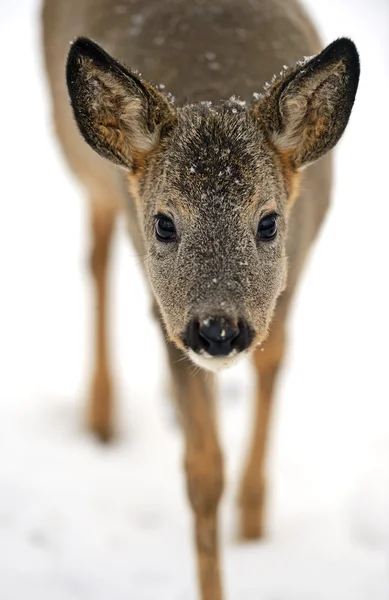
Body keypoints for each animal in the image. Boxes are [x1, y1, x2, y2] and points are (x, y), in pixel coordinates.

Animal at [41, 0, 358, 596]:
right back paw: (101, 419)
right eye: (164, 223)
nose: (218, 329)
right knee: (96, 249)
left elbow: (274, 364)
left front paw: (253, 529)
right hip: (78, 159)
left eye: (269, 222)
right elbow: (203, 472)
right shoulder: (167, 318)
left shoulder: (289, 285)